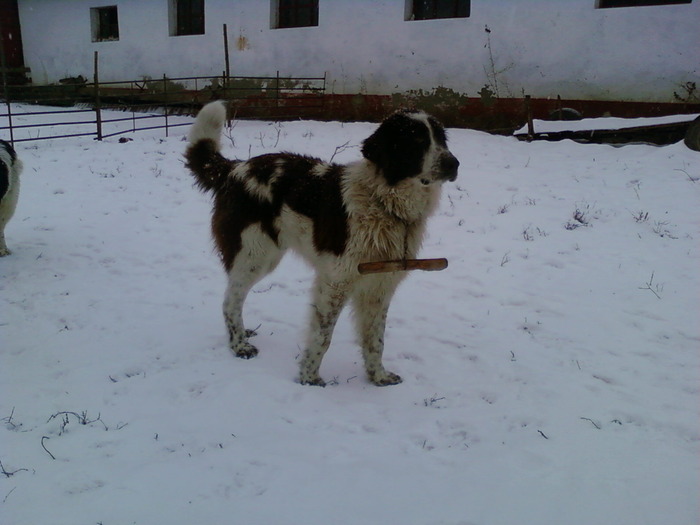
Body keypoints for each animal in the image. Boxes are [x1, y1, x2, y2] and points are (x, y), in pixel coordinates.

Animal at [186, 102, 460, 386]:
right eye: (416, 141)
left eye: (441, 139)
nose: (454, 164)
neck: (383, 203)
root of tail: (234, 168)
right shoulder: (335, 282)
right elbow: (322, 336)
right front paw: (309, 378)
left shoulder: (379, 286)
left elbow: (375, 339)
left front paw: (378, 376)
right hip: (254, 256)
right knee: (230, 300)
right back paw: (239, 345)